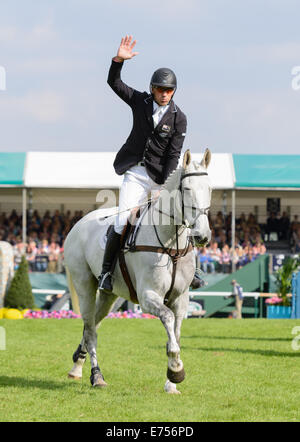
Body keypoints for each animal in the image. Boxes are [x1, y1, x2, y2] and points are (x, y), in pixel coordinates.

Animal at [64, 149, 212, 394]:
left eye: (210, 189)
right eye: (187, 189)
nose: (203, 236)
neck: (171, 243)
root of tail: (77, 225)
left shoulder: (181, 298)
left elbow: (176, 334)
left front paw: (171, 382)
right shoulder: (148, 297)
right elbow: (168, 319)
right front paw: (176, 369)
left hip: (110, 296)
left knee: (92, 325)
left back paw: (77, 366)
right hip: (85, 286)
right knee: (90, 329)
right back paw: (97, 376)